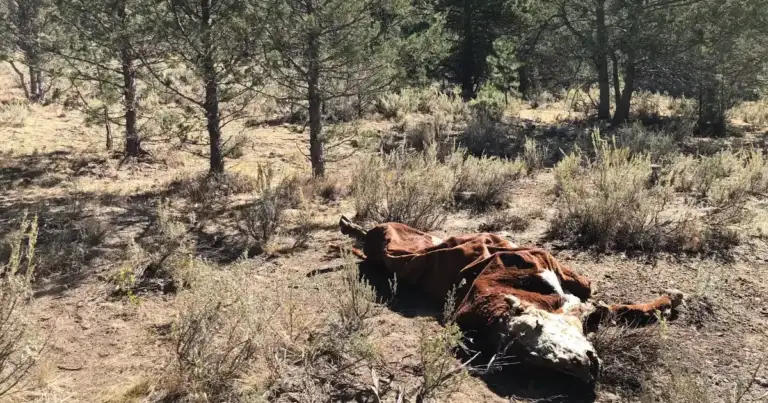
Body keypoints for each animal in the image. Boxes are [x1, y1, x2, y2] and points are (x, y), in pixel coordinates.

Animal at [338, 216, 685, 387]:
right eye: (542, 362)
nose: (589, 373)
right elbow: (593, 294)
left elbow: (611, 305)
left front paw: (667, 302)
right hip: (394, 241)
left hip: (408, 236)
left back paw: (350, 225)